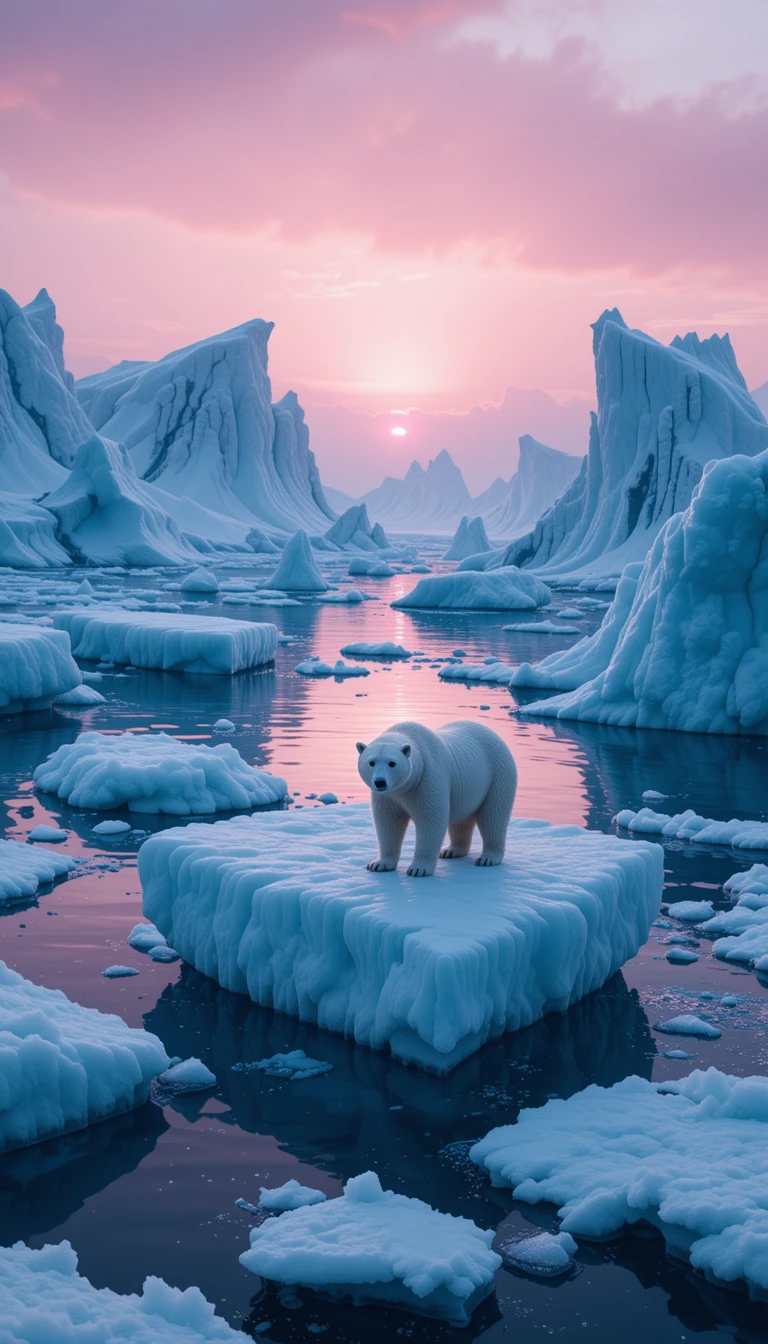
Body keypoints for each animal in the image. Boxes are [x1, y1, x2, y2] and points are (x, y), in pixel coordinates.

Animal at [356, 719, 517, 877]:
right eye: (371, 762)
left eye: (392, 763)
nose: (380, 782)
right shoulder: (388, 796)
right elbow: (388, 822)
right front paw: (378, 864)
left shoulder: (427, 778)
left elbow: (430, 819)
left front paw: (418, 869)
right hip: (465, 790)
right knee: (461, 820)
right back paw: (450, 851)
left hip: (497, 775)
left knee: (493, 816)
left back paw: (487, 858)